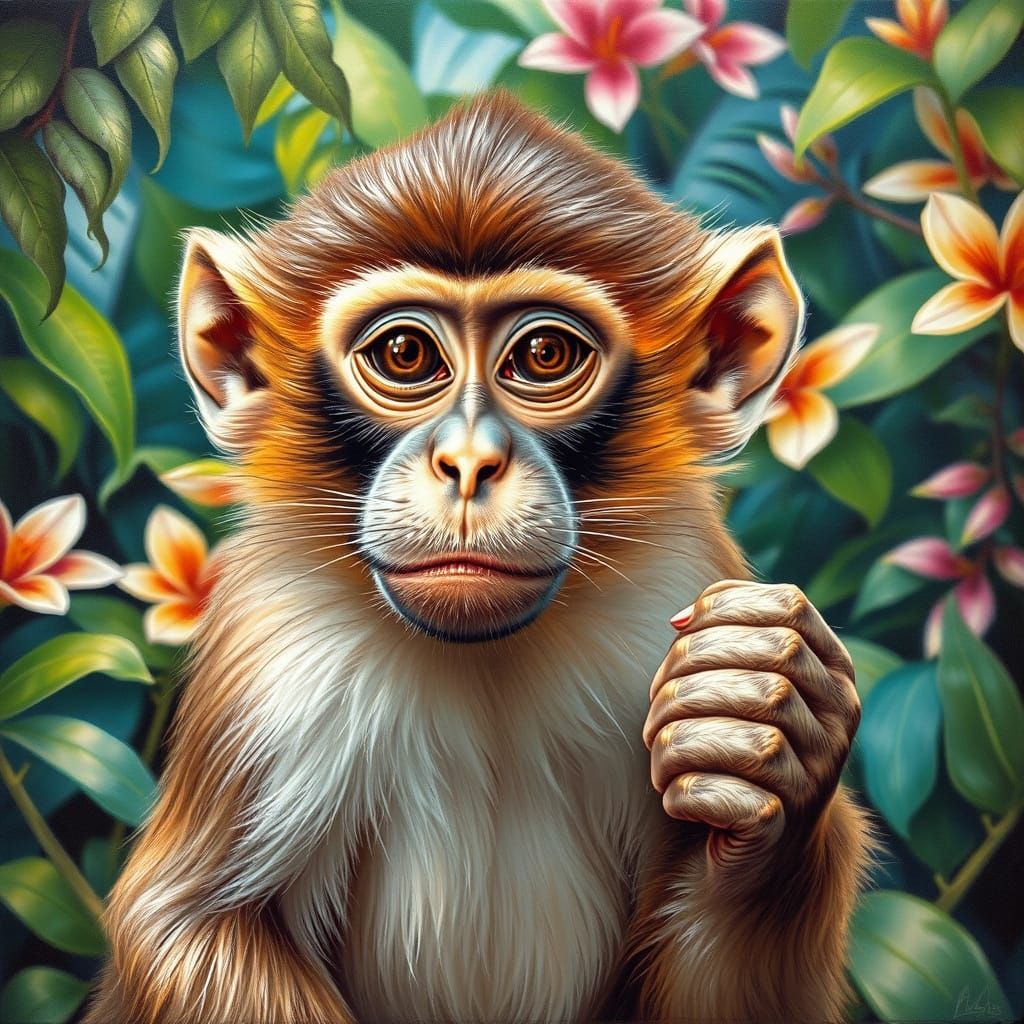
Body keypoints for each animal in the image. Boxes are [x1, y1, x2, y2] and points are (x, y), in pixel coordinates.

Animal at [84, 93, 874, 1024]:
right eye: (404, 355)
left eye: (543, 355)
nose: (468, 463)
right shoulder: (271, 663)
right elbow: (192, 926)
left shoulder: (672, 590)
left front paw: (774, 743)